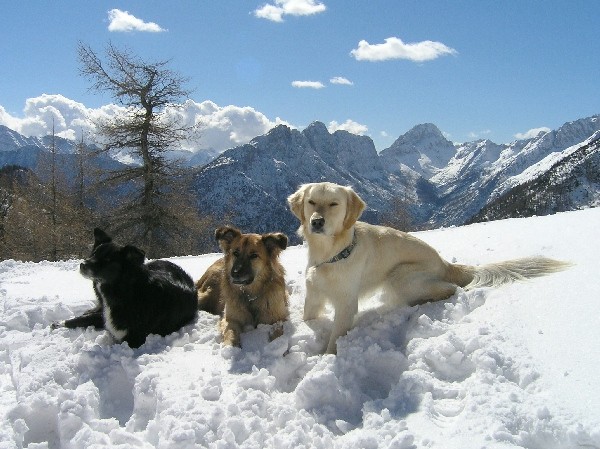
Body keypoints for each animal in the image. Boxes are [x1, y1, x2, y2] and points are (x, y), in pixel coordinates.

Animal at [54, 228, 197, 346]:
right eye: (94, 253)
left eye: (108, 260)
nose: (82, 265)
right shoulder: (105, 316)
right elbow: (82, 319)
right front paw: (60, 323)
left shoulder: (134, 339)